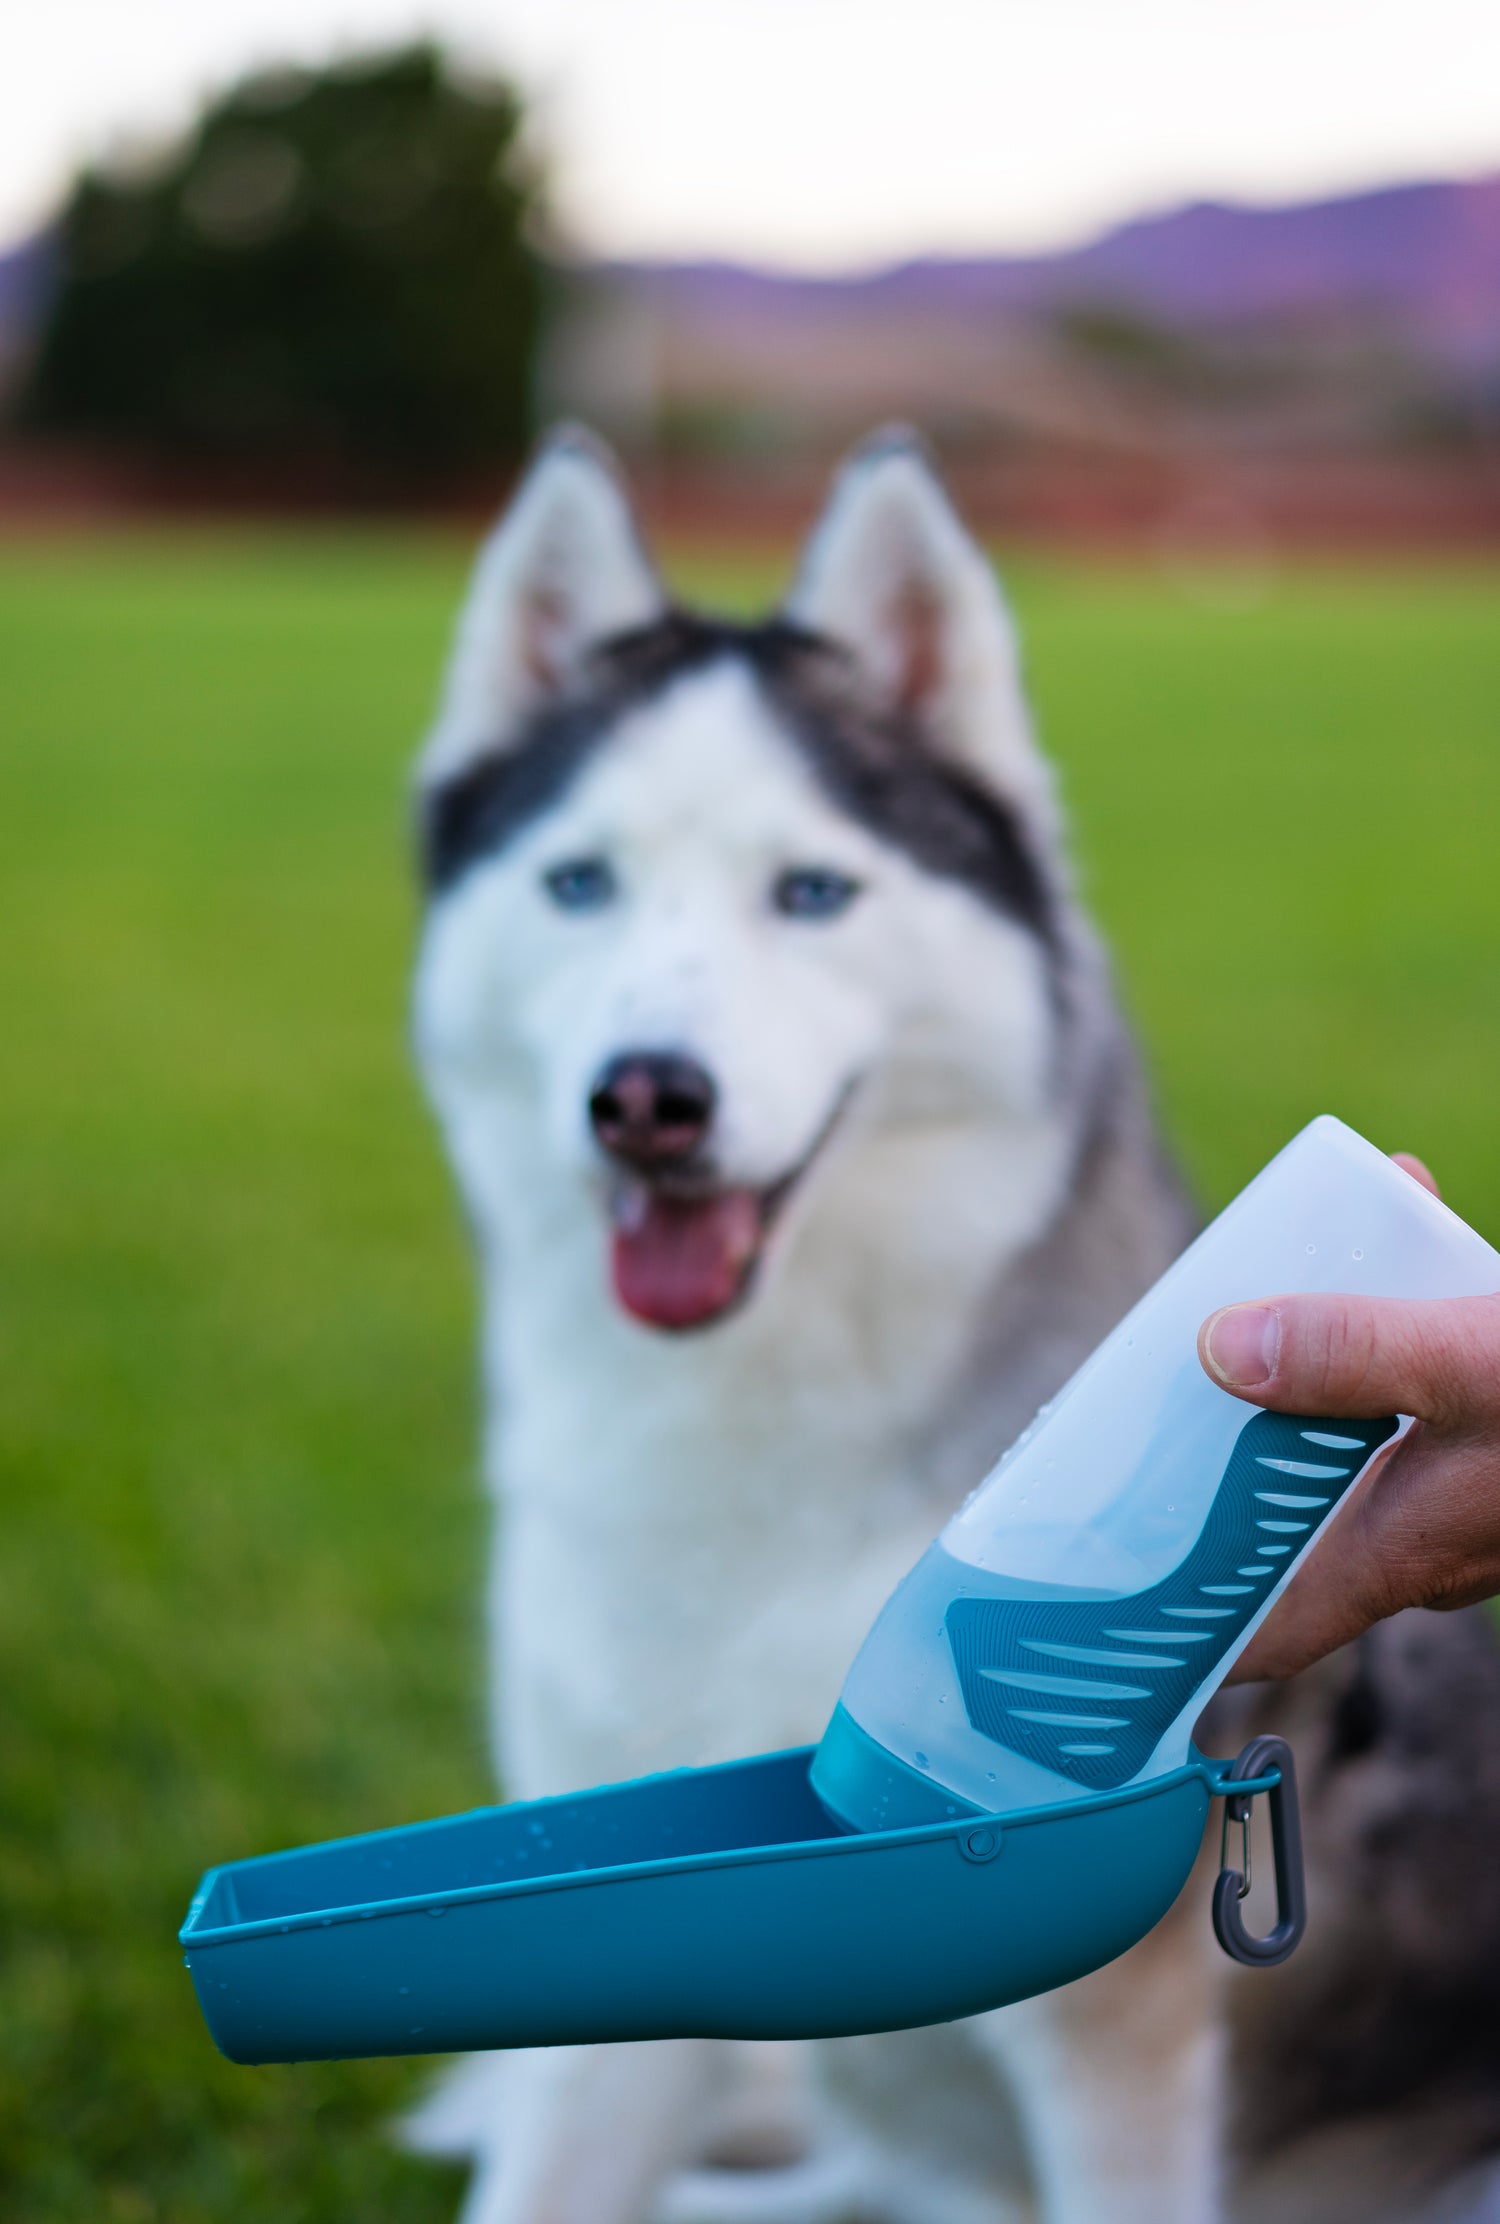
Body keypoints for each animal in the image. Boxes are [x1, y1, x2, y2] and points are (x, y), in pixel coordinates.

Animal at [402, 424, 1495, 2215]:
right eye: (578, 884)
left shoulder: (1125, 2037)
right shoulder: (598, 1918)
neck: (750, 1447)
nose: (645, 1101)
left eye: (811, 891)